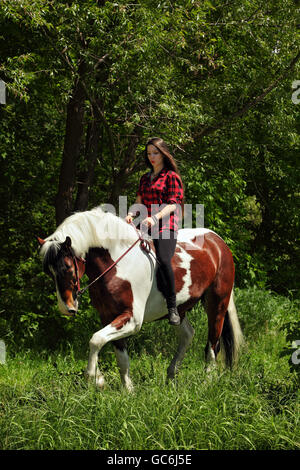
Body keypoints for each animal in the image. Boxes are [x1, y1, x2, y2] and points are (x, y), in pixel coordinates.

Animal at [38, 207, 244, 392]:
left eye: (67, 267)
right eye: (48, 271)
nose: (66, 308)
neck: (117, 264)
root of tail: (218, 242)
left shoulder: (132, 320)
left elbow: (95, 340)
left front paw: (95, 378)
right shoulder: (109, 316)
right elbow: (120, 357)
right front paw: (128, 390)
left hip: (217, 302)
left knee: (213, 344)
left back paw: (206, 382)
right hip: (179, 310)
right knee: (188, 334)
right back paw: (171, 375)